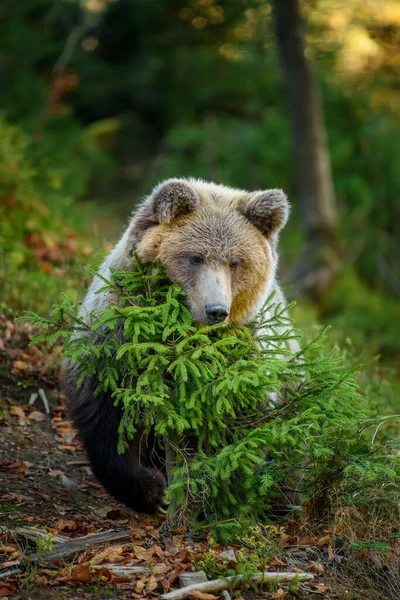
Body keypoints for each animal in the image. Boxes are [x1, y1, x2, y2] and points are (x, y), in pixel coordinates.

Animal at [63, 176, 294, 512]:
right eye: (195, 257)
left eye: (235, 262)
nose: (215, 311)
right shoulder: (116, 341)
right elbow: (106, 413)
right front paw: (150, 489)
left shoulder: (242, 366)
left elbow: (239, 427)